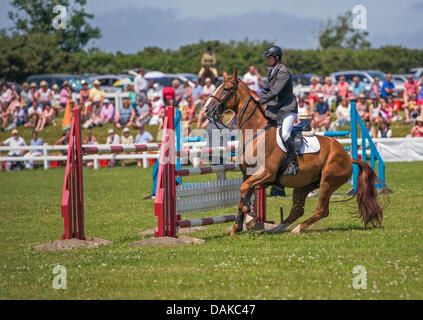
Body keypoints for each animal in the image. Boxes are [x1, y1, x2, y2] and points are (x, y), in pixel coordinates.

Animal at [204, 69, 386, 235]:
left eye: (226, 89)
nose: (206, 109)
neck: (256, 133)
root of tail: (348, 157)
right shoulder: (248, 175)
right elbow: (243, 194)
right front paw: (239, 226)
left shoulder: (266, 173)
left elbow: (244, 192)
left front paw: (249, 217)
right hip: (304, 185)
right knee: (297, 210)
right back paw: (276, 228)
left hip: (327, 182)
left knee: (322, 210)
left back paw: (297, 229)